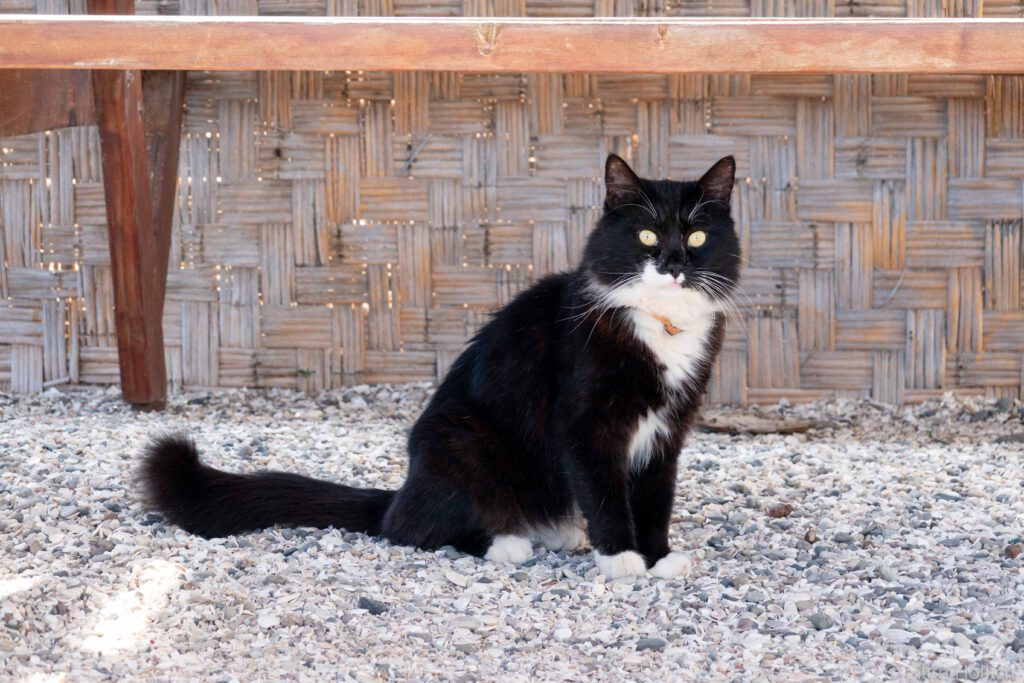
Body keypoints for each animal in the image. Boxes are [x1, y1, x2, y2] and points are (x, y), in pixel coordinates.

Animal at [140, 153, 740, 579]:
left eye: (696, 236)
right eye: (646, 235)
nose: (673, 264)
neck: (661, 324)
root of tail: (406, 485)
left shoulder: (668, 430)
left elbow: (655, 499)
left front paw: (657, 557)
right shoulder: (586, 423)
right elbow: (607, 494)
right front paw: (621, 560)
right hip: (464, 437)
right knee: (411, 527)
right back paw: (506, 542)